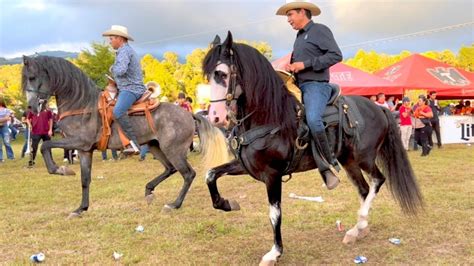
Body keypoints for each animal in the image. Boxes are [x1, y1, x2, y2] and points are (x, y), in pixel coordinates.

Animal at [21, 55, 230, 217]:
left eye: (32, 77)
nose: (30, 107)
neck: (82, 105)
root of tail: (189, 115)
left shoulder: (78, 142)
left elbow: (45, 146)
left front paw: (61, 170)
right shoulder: (85, 150)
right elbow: (85, 179)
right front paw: (81, 208)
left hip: (173, 150)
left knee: (187, 174)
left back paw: (173, 204)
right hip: (155, 146)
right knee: (170, 169)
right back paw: (149, 190)